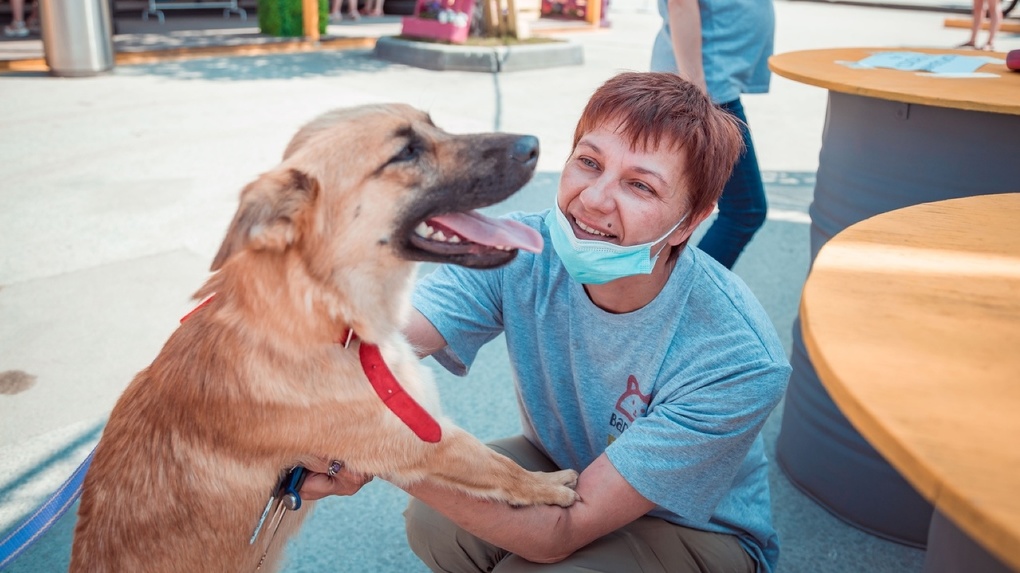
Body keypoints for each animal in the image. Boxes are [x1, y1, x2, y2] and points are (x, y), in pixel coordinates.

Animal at [69, 105, 583, 566]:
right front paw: (545, 486)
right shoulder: (423, 441)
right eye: (405, 152)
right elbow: (494, 464)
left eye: (433, 124)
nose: (534, 145)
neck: (327, 318)